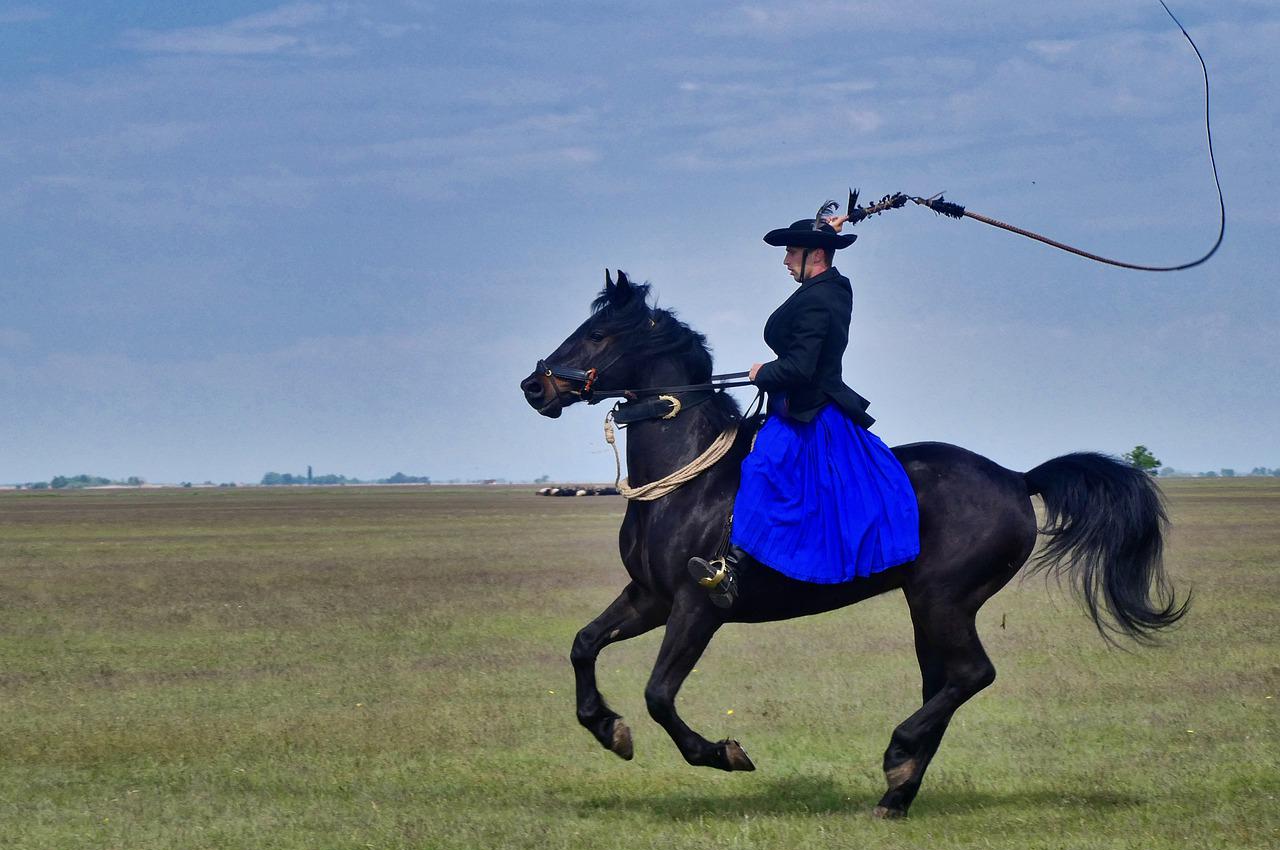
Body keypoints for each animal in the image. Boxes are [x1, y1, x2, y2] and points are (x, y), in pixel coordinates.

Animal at [514, 270, 1182, 819]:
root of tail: (1017, 479)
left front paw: (723, 753)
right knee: (945, 683)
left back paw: (898, 755)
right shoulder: (650, 597)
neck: (690, 479)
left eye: (598, 334)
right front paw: (607, 728)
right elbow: (583, 645)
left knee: (972, 674)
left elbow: (658, 695)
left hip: (943, 600)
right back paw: (898, 792)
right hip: (931, 608)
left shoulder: (699, 604)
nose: (534, 388)